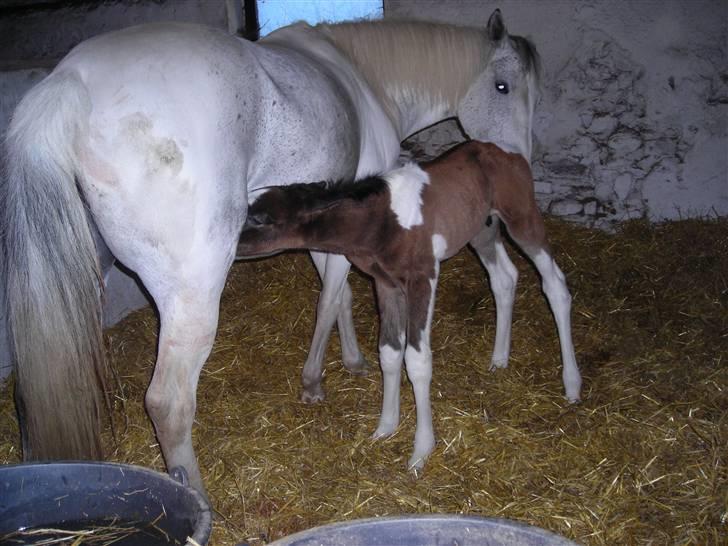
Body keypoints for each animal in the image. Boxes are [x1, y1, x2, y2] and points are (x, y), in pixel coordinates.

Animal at [2, 8, 540, 496]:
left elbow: (339, 295)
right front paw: (314, 380)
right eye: (502, 87)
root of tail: (72, 81)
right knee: (168, 403)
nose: (516, 162)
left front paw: (350, 360)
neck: (360, 75)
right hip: (192, 296)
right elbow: (331, 298)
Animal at [236, 140, 584, 468]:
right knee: (504, 279)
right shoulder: (386, 283)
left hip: (522, 217)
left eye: (259, 219)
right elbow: (389, 352)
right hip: (481, 230)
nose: (229, 244)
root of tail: (503, 149)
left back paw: (572, 385)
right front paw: (385, 427)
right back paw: (499, 359)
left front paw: (421, 451)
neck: (382, 221)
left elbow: (417, 360)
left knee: (555, 285)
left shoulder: (423, 277)